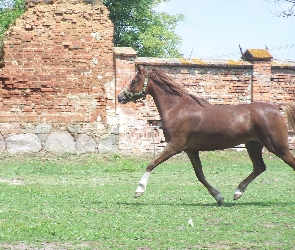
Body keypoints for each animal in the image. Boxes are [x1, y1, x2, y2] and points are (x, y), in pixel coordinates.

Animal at [118, 64, 295, 205]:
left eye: (134, 81)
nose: (120, 97)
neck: (177, 109)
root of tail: (277, 107)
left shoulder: (175, 145)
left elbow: (152, 163)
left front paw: (139, 190)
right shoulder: (191, 150)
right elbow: (200, 175)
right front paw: (219, 197)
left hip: (277, 146)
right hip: (253, 145)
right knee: (259, 167)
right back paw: (237, 192)